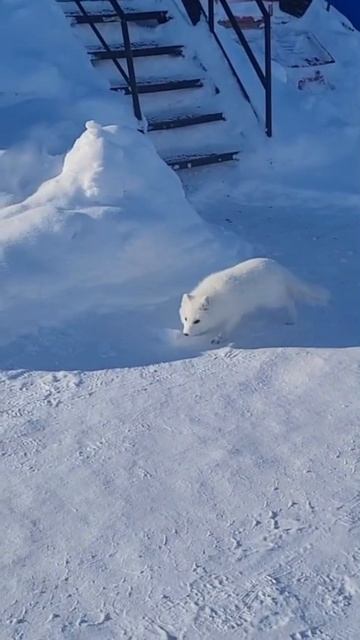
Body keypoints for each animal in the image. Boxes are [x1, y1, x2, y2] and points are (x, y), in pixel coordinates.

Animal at [180, 258, 330, 342]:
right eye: (186, 319)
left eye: (197, 321)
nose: (186, 334)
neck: (218, 298)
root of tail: (280, 268)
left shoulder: (235, 313)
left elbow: (228, 328)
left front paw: (219, 338)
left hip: (273, 300)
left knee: (289, 299)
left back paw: (292, 319)